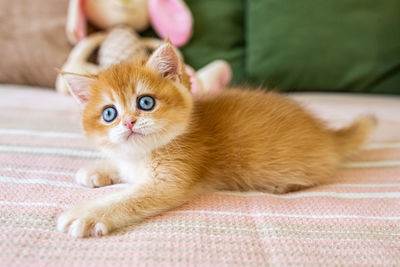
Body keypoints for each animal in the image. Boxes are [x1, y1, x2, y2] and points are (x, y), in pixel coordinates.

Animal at [57, 41, 376, 239]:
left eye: (146, 102)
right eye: (109, 113)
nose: (128, 122)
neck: (146, 153)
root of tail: (328, 135)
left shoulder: (170, 183)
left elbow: (127, 198)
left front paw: (87, 214)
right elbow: (120, 166)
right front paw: (98, 169)